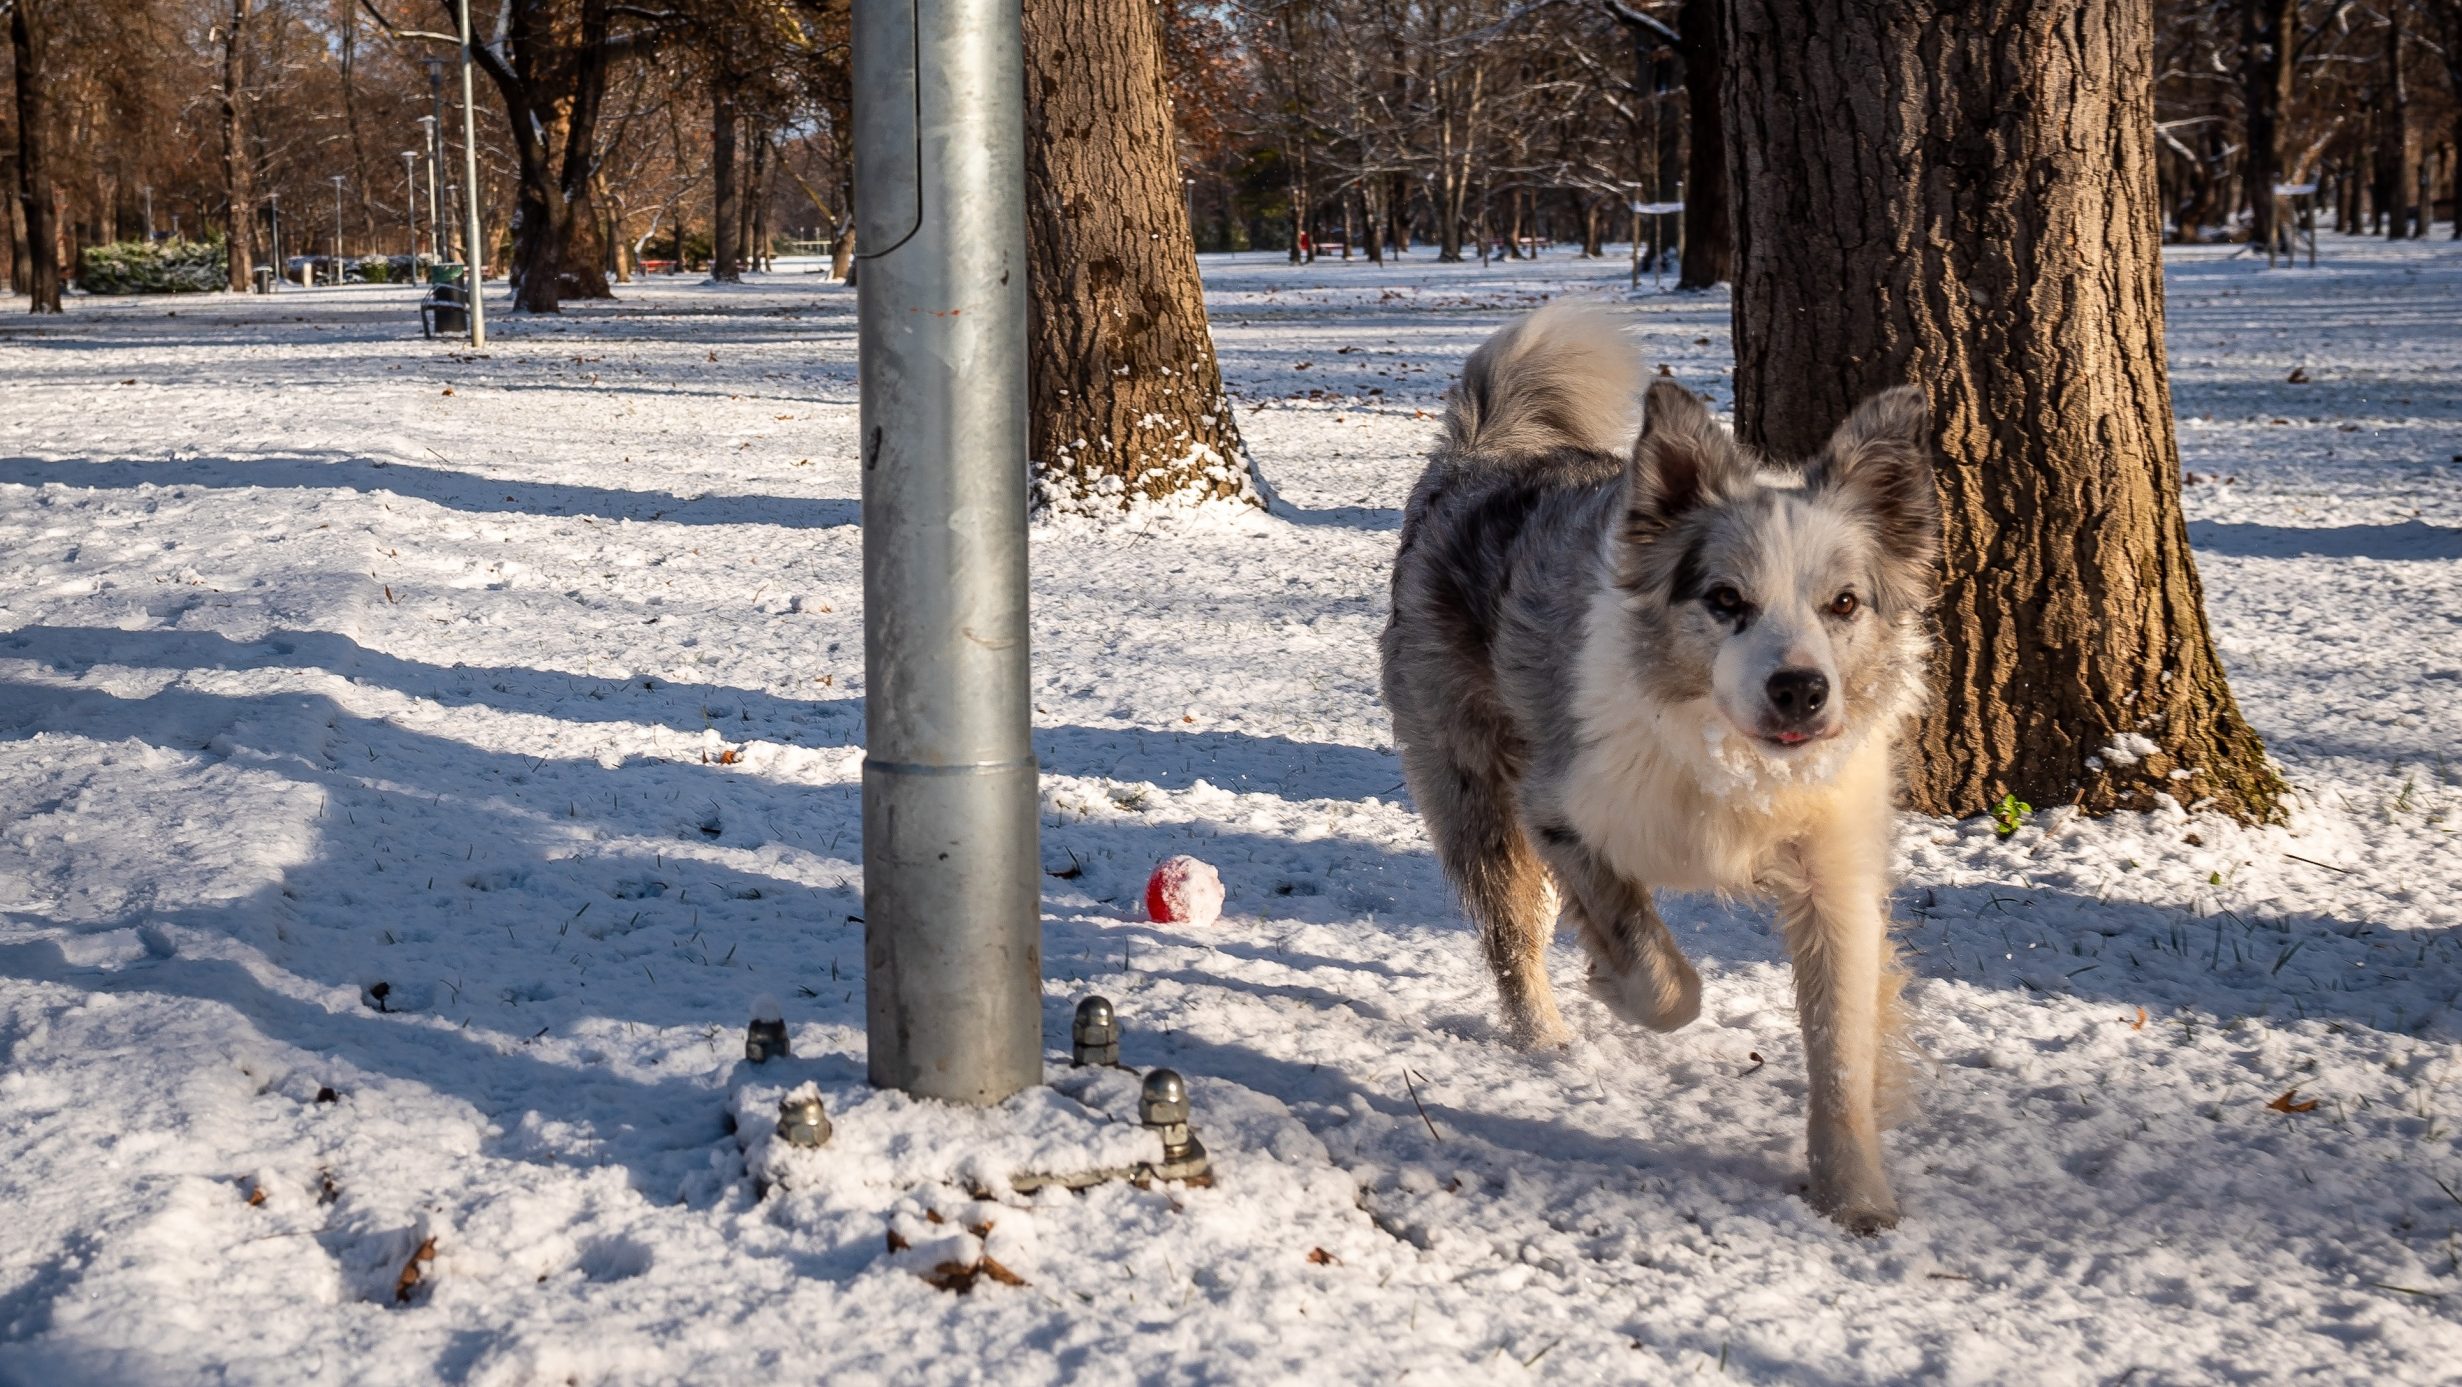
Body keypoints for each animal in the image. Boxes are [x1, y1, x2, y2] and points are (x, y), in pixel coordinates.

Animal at [1378, 298, 1930, 1231]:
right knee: (1510, 932)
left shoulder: (1836, 867)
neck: (1727, 758)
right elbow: (1666, 977)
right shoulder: (1561, 809)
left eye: (1845, 603)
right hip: (1470, 785)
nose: (1801, 690)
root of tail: (1479, 456)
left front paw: (1853, 1195)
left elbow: (1842, 1045)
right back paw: (1545, 1037)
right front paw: (1612, 985)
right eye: (1725, 599)